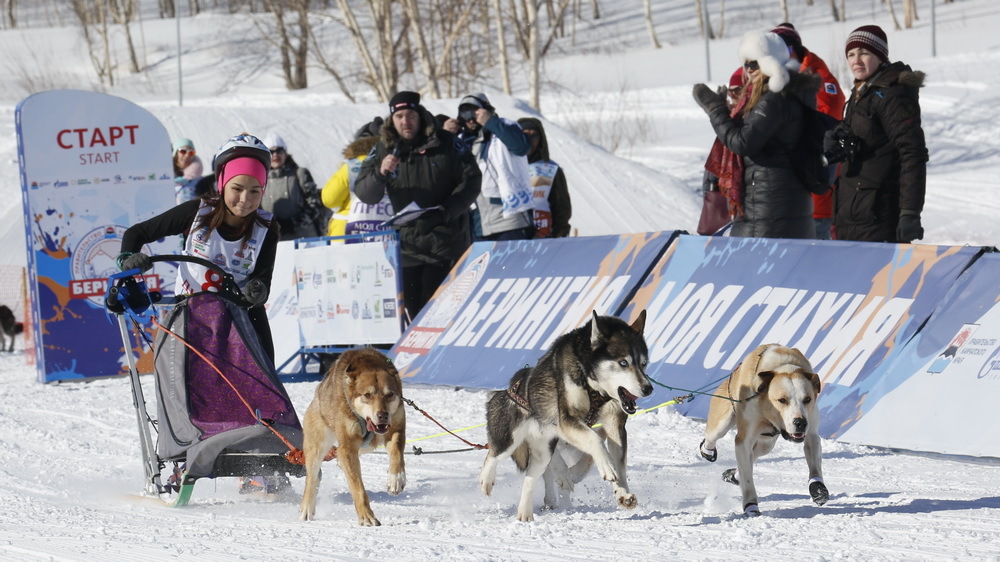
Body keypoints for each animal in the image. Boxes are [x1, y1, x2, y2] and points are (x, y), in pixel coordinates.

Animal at [296, 346, 406, 524]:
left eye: (390, 394)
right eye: (367, 395)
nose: (383, 415)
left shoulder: (396, 428)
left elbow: (396, 453)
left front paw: (396, 479)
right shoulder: (347, 447)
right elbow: (358, 488)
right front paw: (367, 516)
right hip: (316, 446)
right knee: (311, 479)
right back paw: (306, 508)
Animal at [478, 308, 652, 520]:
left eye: (643, 363)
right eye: (623, 362)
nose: (648, 388)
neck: (592, 384)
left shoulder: (614, 424)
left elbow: (620, 461)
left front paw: (623, 492)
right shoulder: (567, 420)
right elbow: (595, 440)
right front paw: (606, 465)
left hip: (543, 453)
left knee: (531, 477)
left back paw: (525, 513)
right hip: (510, 438)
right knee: (493, 455)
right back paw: (487, 480)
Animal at [696, 340, 828, 516]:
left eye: (807, 399)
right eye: (782, 400)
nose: (800, 422)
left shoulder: (811, 433)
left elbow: (814, 465)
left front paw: (818, 488)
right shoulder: (743, 440)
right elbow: (747, 478)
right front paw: (751, 505)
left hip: (767, 442)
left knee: (754, 455)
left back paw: (734, 475)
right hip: (722, 422)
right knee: (713, 438)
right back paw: (707, 451)